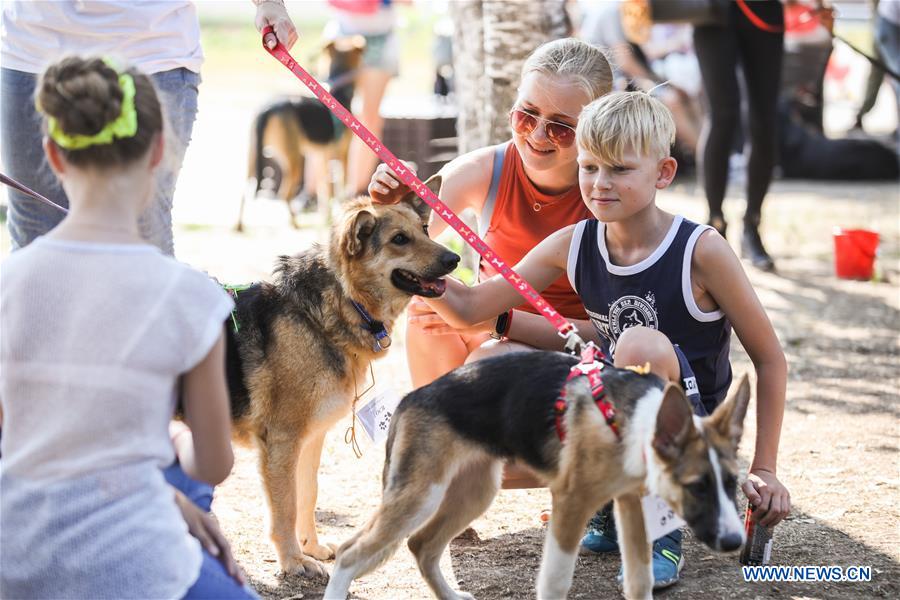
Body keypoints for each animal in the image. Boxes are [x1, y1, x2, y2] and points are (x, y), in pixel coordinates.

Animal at [225, 177, 458, 576]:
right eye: (399, 239)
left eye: (425, 230)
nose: (454, 259)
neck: (335, 306)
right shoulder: (282, 441)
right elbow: (285, 507)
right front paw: (292, 561)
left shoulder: (310, 440)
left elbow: (307, 495)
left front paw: (311, 548)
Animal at [239, 35, 370, 232]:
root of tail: (268, 109)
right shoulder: (342, 155)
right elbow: (338, 189)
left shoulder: (319, 155)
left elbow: (324, 191)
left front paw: (327, 218)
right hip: (295, 159)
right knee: (285, 195)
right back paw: (294, 223)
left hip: (253, 156)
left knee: (243, 192)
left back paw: (238, 225)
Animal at [324, 352, 752, 600]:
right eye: (697, 486)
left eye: (732, 483)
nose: (735, 542)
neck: (627, 420)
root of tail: (410, 398)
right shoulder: (569, 504)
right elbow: (556, 582)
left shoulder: (630, 506)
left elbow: (639, 581)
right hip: (420, 497)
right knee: (349, 553)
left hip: (474, 494)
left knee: (422, 546)